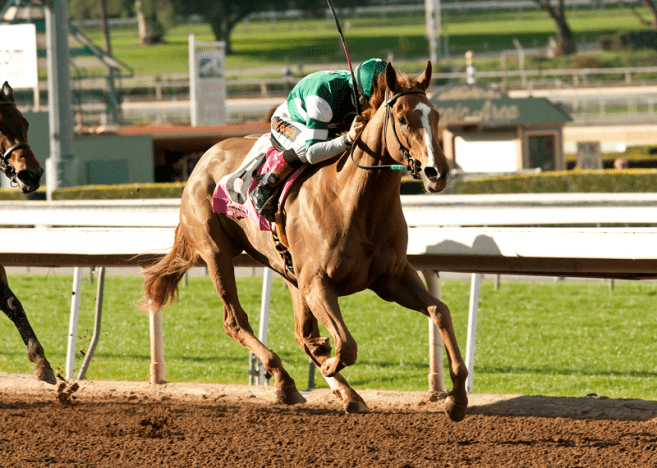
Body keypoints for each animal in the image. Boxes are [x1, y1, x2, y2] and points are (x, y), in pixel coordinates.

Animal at [140, 62, 466, 420]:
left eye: (436, 116)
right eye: (404, 118)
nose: (437, 173)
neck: (352, 201)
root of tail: (203, 158)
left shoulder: (390, 277)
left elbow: (439, 311)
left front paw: (457, 398)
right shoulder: (318, 282)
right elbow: (346, 345)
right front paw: (329, 362)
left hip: (287, 269)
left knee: (301, 333)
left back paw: (343, 390)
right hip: (217, 253)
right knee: (235, 322)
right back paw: (287, 382)